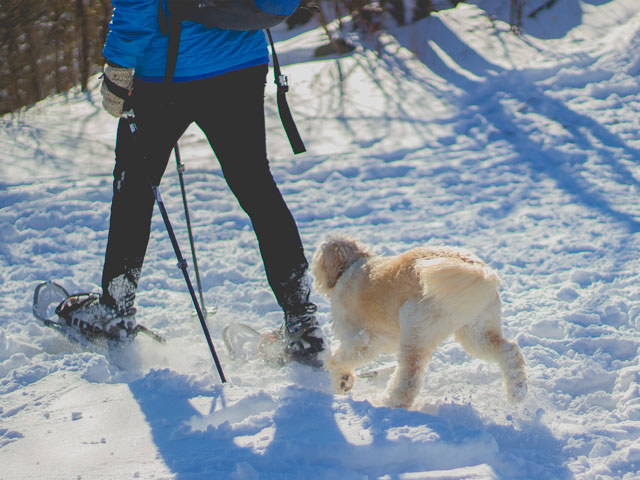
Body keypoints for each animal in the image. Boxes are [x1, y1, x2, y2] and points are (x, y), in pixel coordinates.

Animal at [312, 234, 528, 406]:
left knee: (409, 379)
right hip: (476, 331)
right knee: (509, 351)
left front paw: (341, 379)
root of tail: (479, 270)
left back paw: (388, 403)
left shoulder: (361, 343)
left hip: (415, 332)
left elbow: (335, 359)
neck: (351, 266)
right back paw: (517, 393)